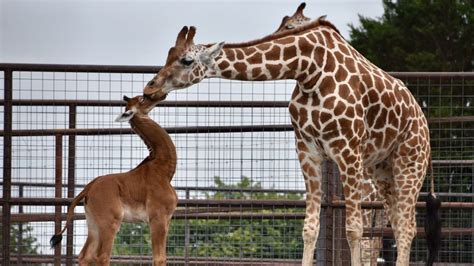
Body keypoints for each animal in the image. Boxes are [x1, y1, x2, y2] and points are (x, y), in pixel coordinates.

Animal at [143, 17, 438, 264]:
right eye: (169, 54)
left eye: (186, 60)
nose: (150, 88)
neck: (308, 69)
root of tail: (423, 122)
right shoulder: (307, 150)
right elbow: (310, 228)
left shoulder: (348, 151)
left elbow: (355, 229)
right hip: (382, 171)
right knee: (398, 224)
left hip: (410, 163)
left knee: (406, 227)